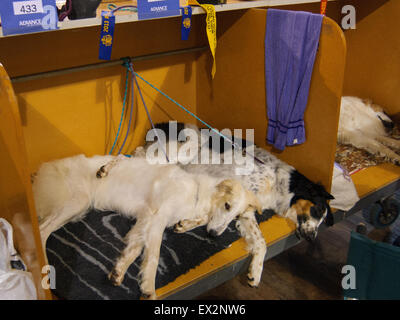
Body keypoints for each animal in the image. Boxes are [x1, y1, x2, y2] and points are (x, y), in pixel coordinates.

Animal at [32, 154, 264, 298]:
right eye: (227, 205)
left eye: (237, 216)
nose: (215, 235)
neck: (196, 192)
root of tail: (41, 171)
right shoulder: (158, 218)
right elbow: (153, 257)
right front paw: (149, 289)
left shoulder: (145, 220)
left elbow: (134, 250)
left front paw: (119, 271)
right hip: (77, 203)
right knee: (42, 232)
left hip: (76, 209)